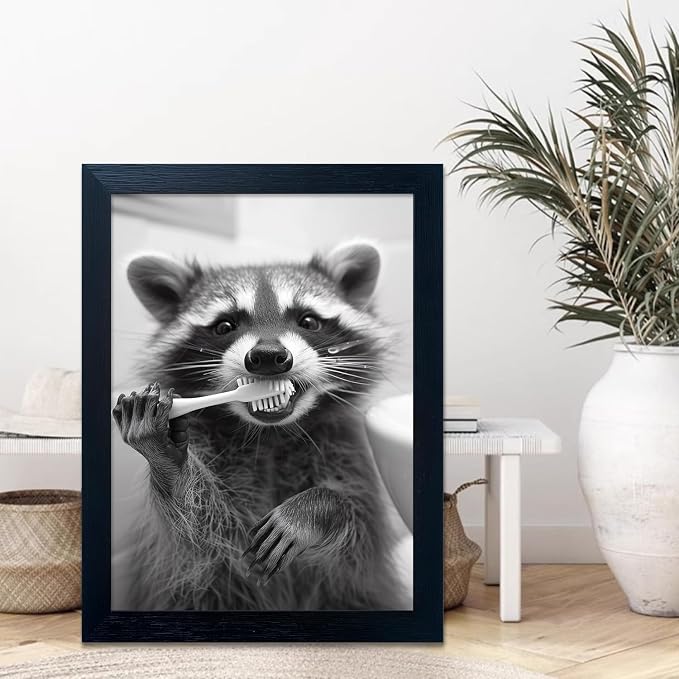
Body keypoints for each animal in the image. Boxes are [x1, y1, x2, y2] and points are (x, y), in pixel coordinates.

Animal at [112, 241, 409, 611]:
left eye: (308, 320)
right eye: (225, 326)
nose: (268, 356)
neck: (271, 435)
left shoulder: (348, 456)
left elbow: (356, 545)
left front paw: (318, 508)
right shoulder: (194, 555)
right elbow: (201, 537)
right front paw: (169, 463)